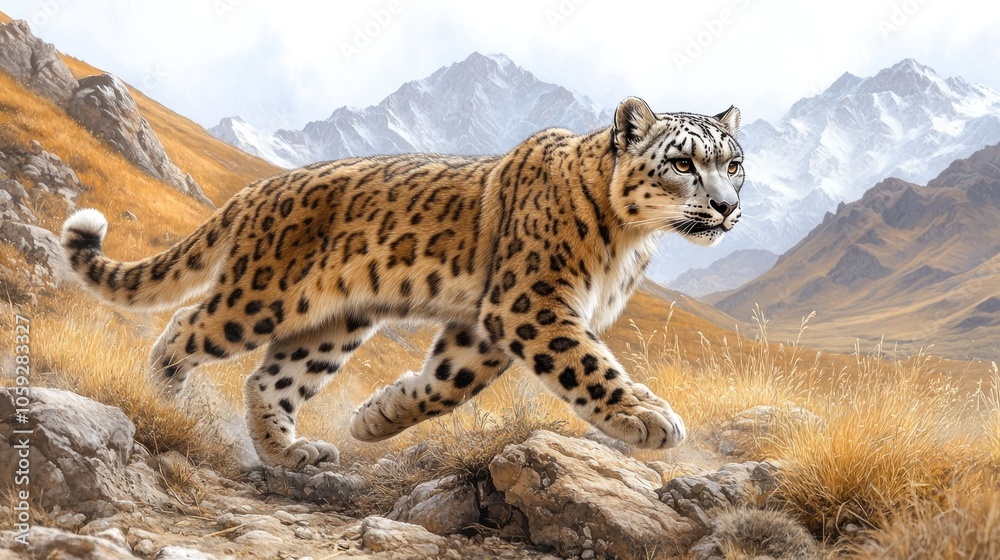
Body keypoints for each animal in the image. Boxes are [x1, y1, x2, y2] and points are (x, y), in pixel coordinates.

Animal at [60, 97, 744, 470]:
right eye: (684, 163)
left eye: (734, 163)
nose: (727, 207)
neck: (629, 240)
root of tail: (258, 189)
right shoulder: (531, 303)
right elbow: (588, 364)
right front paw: (645, 416)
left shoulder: (482, 326)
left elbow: (447, 383)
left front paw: (377, 417)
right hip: (259, 297)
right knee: (186, 326)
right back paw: (163, 399)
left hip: (334, 324)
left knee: (269, 379)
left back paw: (291, 453)